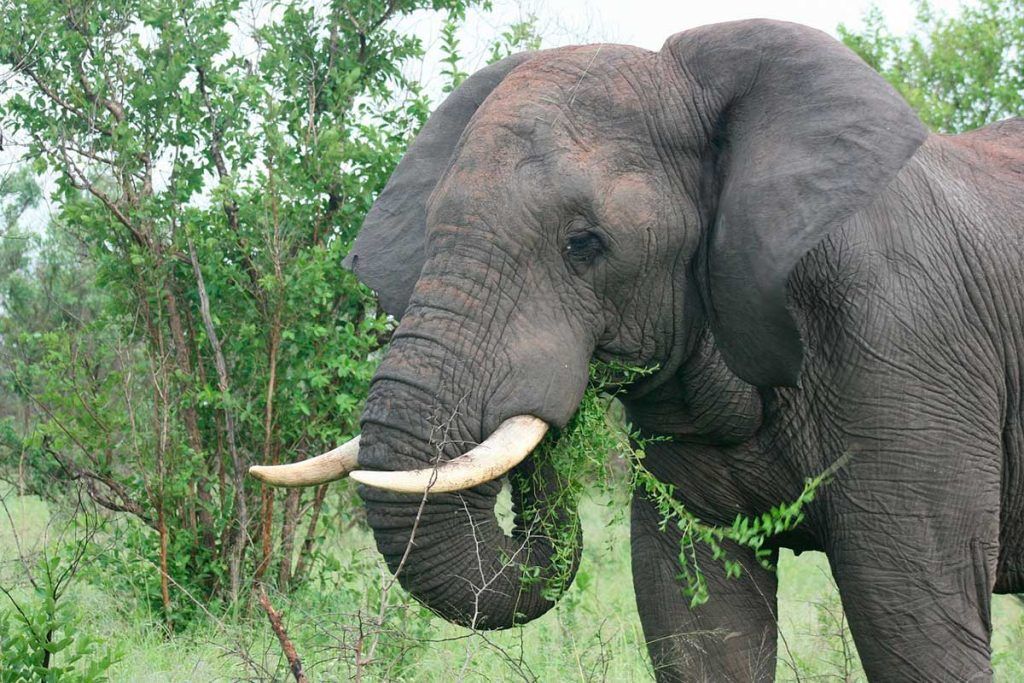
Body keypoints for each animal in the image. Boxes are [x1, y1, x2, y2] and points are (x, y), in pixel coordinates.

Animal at [250, 19, 1024, 682]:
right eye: (432, 227)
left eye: (584, 244)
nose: (553, 420)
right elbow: (698, 624)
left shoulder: (905, 345)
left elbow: (915, 622)